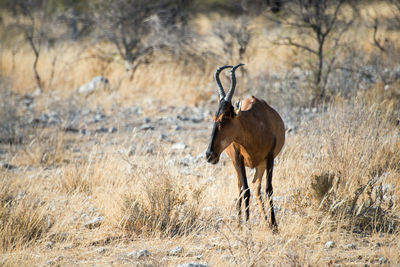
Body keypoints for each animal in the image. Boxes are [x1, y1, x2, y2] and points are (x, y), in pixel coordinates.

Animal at [206, 63, 284, 230]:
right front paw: (246, 226)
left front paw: (274, 225)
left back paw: (266, 223)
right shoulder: (238, 158)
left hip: (260, 165)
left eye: (225, 117)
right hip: (236, 164)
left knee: (256, 187)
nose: (209, 155)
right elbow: (245, 190)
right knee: (241, 187)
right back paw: (240, 223)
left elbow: (269, 189)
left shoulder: (269, 158)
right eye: (215, 117)